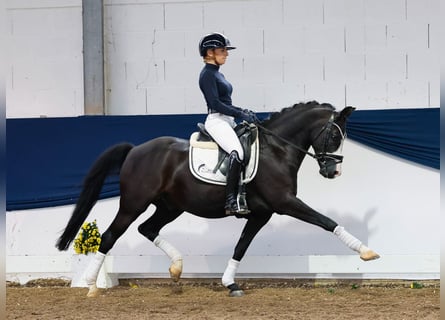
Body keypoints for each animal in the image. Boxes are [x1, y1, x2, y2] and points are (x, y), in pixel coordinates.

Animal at [56, 100, 378, 298]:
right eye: (334, 137)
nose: (333, 172)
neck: (276, 149)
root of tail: (135, 149)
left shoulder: (261, 213)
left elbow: (241, 246)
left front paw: (230, 283)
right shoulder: (285, 203)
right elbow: (327, 221)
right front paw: (366, 252)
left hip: (171, 206)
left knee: (147, 228)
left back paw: (176, 268)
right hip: (133, 203)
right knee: (111, 235)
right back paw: (91, 286)